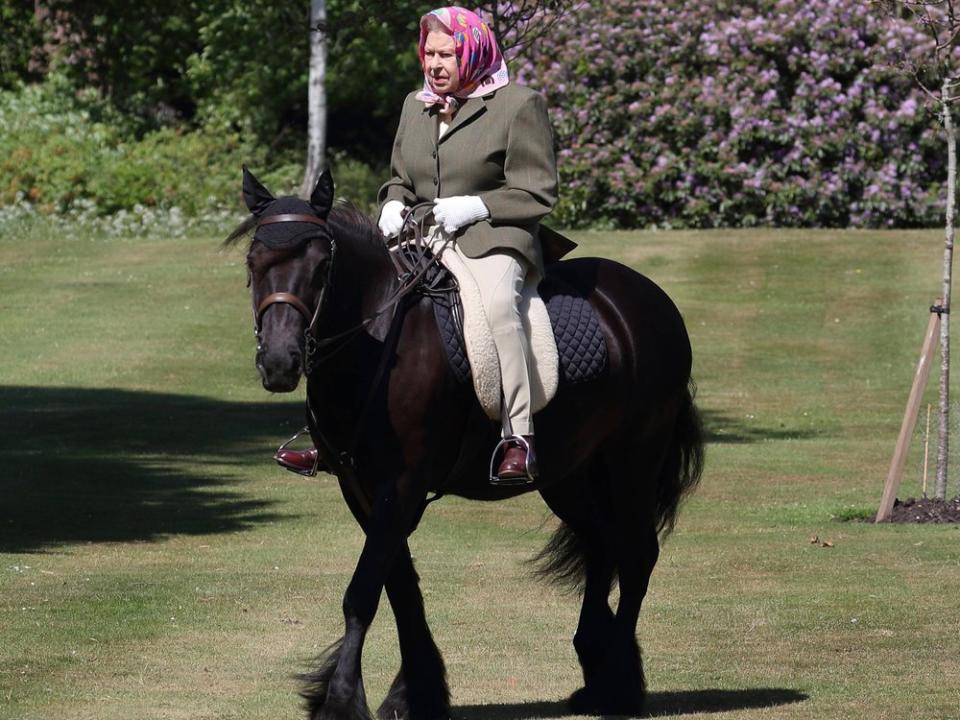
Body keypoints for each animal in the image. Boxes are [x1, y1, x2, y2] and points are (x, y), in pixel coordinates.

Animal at [227, 166, 704, 716]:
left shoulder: (402, 485)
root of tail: (649, 299)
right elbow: (400, 587)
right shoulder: (361, 487)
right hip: (568, 474)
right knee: (601, 543)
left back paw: (619, 685)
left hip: (634, 458)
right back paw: (595, 668)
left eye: (322, 265)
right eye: (254, 262)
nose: (280, 362)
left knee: (635, 553)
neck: (378, 339)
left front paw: (341, 700)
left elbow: (364, 591)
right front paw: (414, 693)